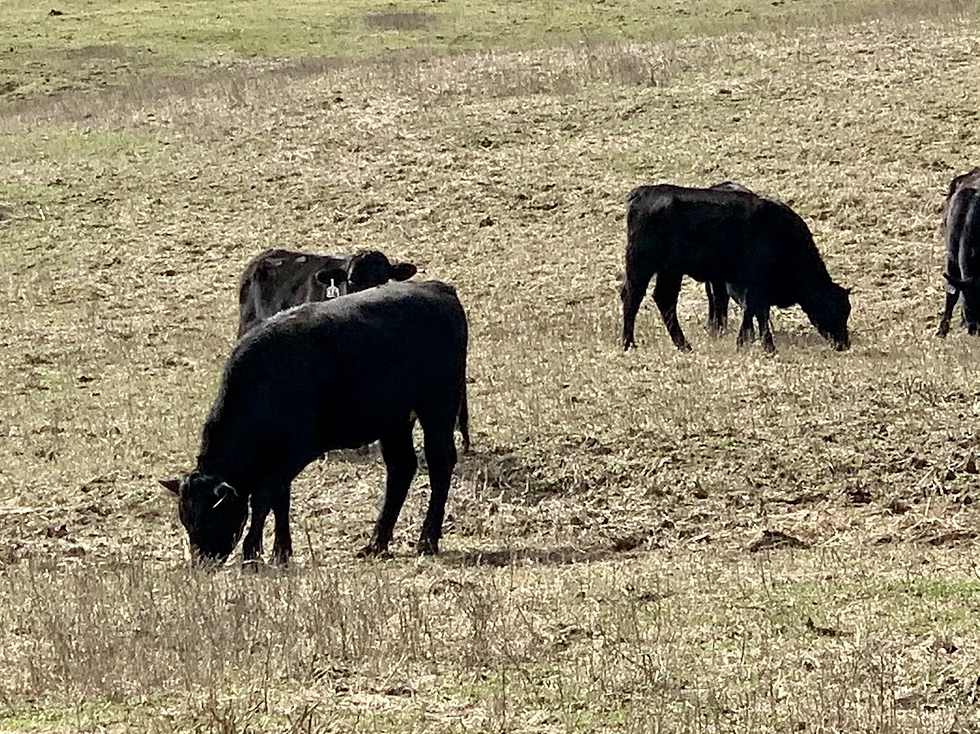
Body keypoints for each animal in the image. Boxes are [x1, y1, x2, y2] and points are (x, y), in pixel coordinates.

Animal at [161, 281, 468, 565]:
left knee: (440, 463)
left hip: (438, 409)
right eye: (186, 520)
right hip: (394, 422)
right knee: (400, 469)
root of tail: (438, 289)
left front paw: (253, 553)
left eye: (211, 517)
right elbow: (280, 501)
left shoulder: (295, 453)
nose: (202, 562)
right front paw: (281, 552)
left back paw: (427, 540)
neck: (263, 382)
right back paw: (376, 543)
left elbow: (263, 499)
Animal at [620, 184, 851, 354]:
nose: (844, 344)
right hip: (657, 267)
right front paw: (764, 345)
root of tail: (642, 193)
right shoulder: (756, 283)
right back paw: (657, 344)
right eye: (834, 309)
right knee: (648, 298)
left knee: (645, 297)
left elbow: (753, 310)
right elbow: (757, 310)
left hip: (655, 269)